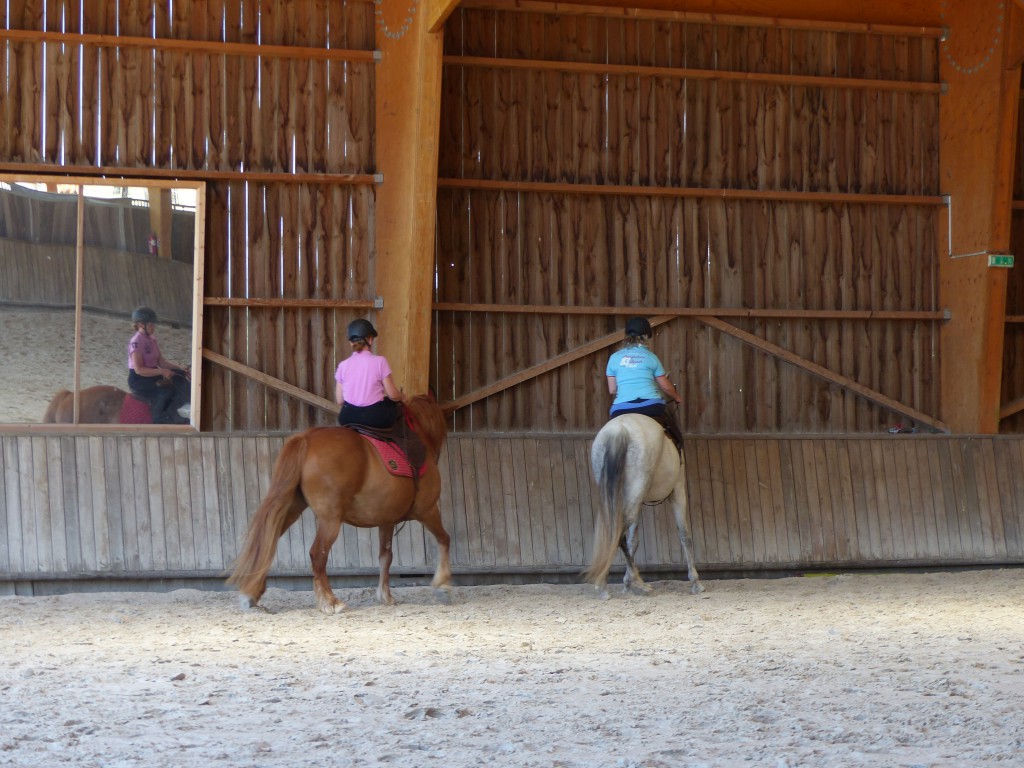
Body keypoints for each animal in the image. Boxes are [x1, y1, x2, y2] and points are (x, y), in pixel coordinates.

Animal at [228, 393, 452, 618]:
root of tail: (307, 438)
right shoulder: (427, 510)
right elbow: (444, 539)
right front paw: (442, 584)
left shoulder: (387, 520)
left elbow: (385, 556)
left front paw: (385, 596)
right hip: (330, 520)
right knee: (317, 554)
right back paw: (330, 602)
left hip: (291, 509)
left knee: (268, 541)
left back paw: (252, 593)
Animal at [585, 415, 704, 602]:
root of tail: (619, 429)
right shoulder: (678, 490)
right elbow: (685, 534)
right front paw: (695, 582)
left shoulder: (638, 501)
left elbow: (633, 540)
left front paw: (627, 584)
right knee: (617, 532)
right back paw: (637, 582)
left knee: (613, 533)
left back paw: (606, 584)